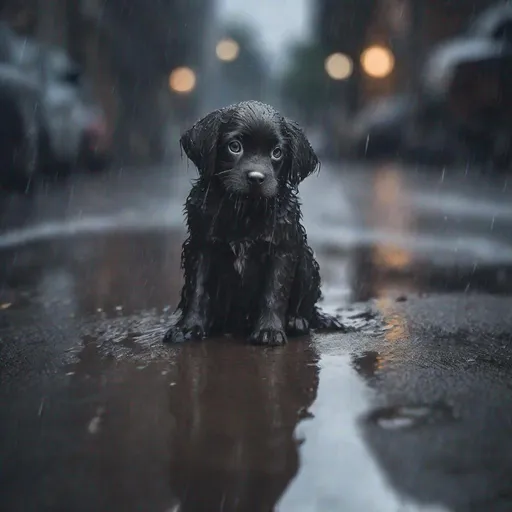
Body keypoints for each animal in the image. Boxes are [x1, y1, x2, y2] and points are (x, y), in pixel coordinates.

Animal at [166, 100, 346, 346]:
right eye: (235, 146)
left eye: (277, 152)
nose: (256, 178)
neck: (245, 211)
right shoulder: (200, 246)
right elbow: (197, 289)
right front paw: (188, 327)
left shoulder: (282, 249)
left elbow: (274, 292)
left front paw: (269, 330)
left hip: (306, 260)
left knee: (308, 309)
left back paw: (297, 322)